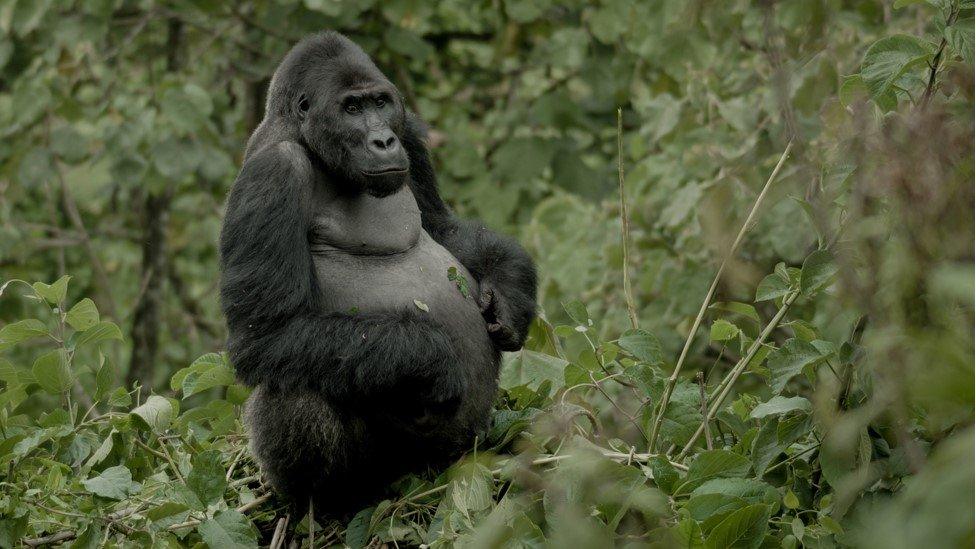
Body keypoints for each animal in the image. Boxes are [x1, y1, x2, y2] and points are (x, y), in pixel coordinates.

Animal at [218, 32, 536, 510]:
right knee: (294, 387)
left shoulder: (412, 135)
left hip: (449, 453)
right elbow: (267, 334)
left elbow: (443, 229)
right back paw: (326, 499)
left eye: (381, 103)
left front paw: (509, 294)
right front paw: (431, 358)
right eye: (352, 108)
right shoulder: (272, 173)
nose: (384, 140)